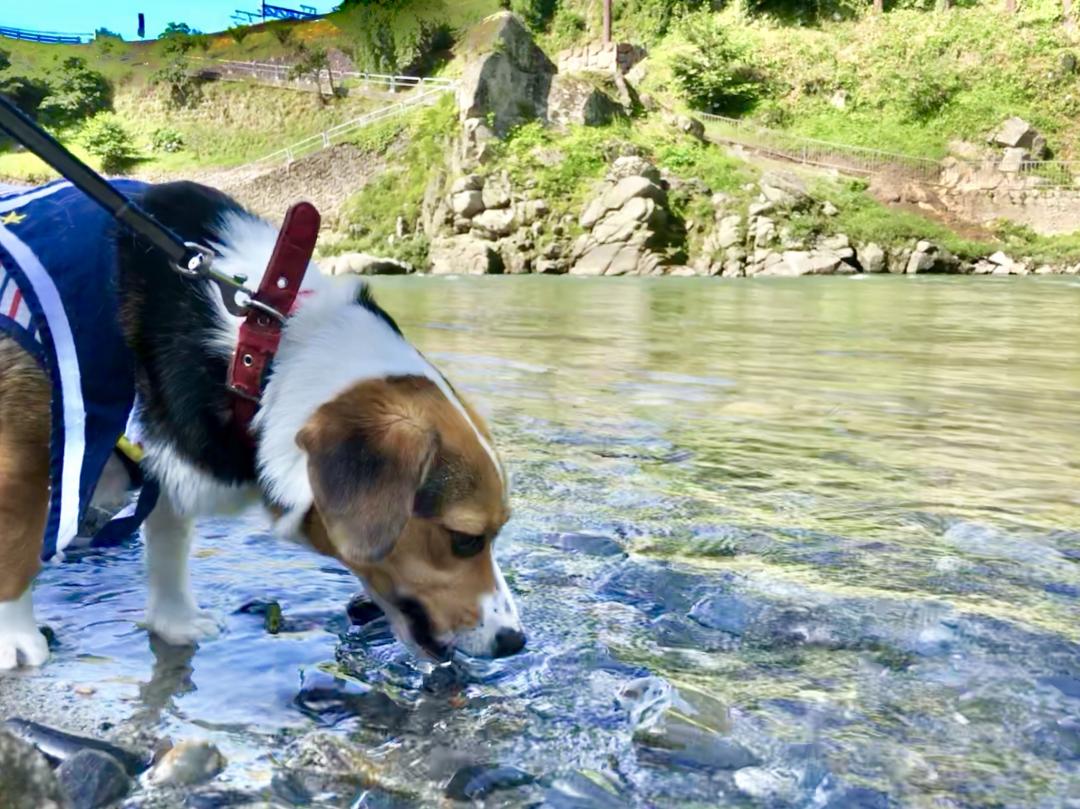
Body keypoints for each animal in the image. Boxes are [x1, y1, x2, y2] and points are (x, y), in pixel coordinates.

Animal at [0, 180, 524, 665]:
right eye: (465, 540)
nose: (515, 642)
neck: (259, 351)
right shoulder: (27, 458)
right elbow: (18, 545)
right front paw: (15, 639)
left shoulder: (165, 450)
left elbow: (169, 544)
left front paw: (175, 621)